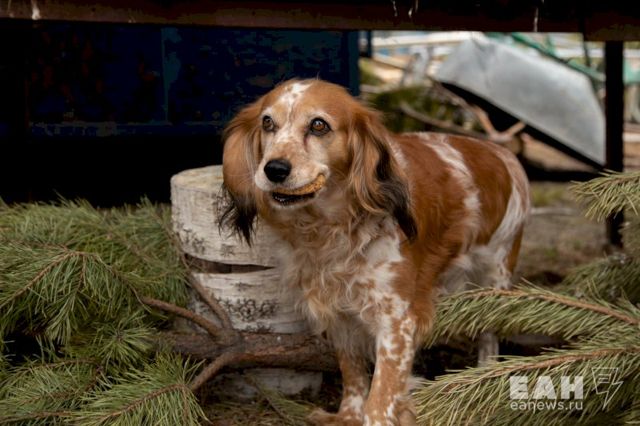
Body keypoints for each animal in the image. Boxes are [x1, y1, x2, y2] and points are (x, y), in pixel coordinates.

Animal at [219, 79, 530, 425]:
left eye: (318, 125)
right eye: (267, 123)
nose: (274, 169)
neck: (332, 229)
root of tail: (500, 153)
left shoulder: (397, 321)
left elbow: (381, 398)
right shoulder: (340, 316)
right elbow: (353, 375)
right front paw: (347, 416)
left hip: (495, 276)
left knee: (489, 336)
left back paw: (485, 378)